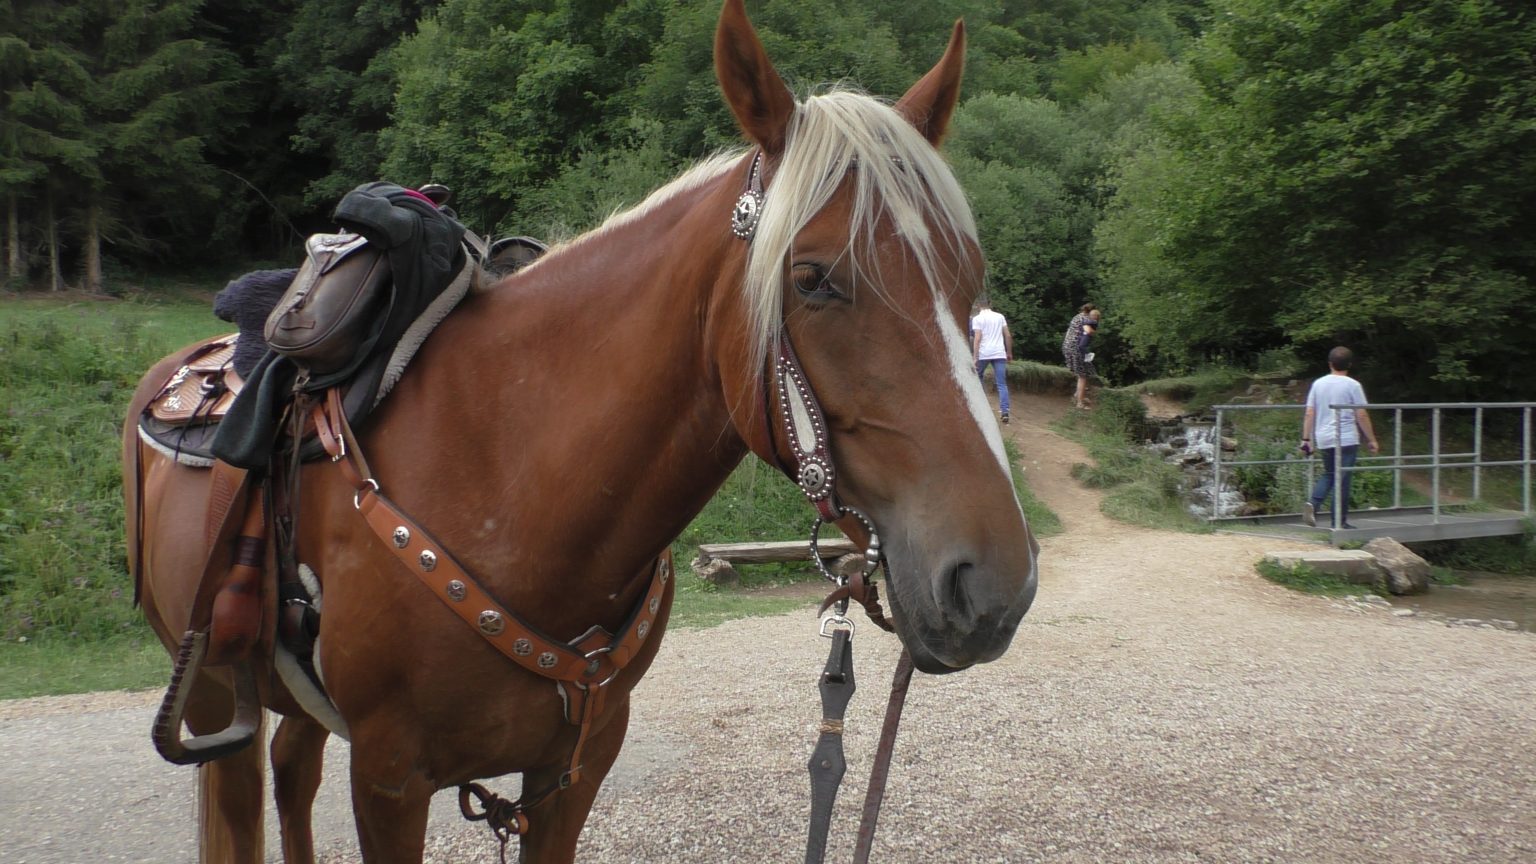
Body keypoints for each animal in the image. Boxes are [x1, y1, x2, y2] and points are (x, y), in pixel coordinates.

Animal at [121, 1, 1039, 861]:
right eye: (813, 280)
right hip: (215, 697)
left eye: (968, 279)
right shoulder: (388, 778)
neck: (505, 473)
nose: (995, 582)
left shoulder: (576, 765)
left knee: (292, 769)